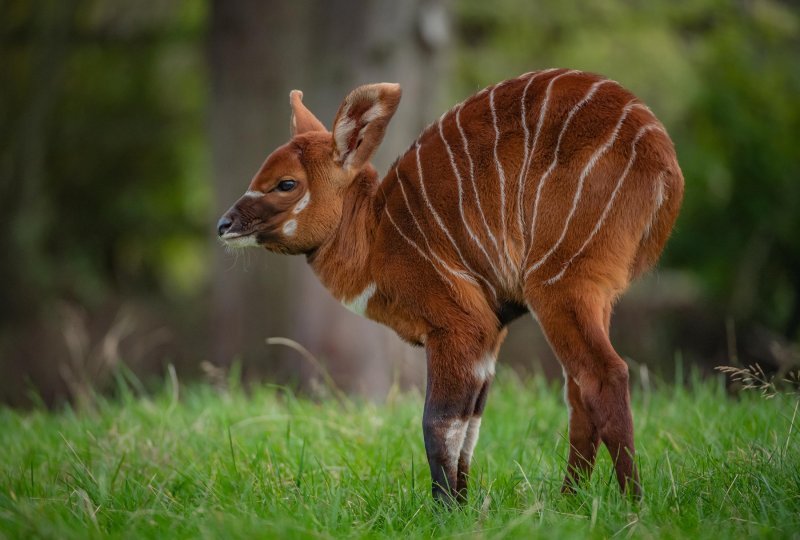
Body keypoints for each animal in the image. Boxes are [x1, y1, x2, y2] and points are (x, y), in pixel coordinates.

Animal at [217, 69, 680, 504]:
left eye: (286, 183)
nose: (224, 225)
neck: (377, 235)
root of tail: (666, 168)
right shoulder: (489, 336)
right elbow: (470, 427)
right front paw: (463, 504)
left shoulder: (459, 325)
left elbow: (438, 423)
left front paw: (445, 512)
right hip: (593, 295)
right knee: (577, 388)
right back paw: (569, 502)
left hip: (559, 282)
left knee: (604, 375)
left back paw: (631, 505)